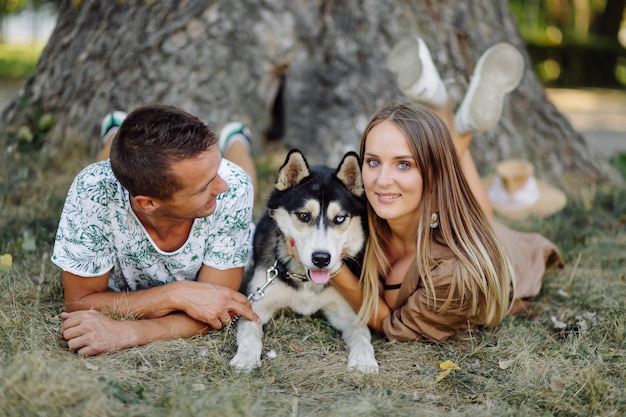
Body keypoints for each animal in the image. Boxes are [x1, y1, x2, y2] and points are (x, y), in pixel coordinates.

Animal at [229, 148, 376, 372]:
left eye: (340, 218)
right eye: (304, 216)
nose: (321, 258)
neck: (304, 280)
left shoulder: (346, 310)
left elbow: (361, 333)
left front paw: (364, 360)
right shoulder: (256, 305)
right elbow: (250, 334)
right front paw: (246, 358)